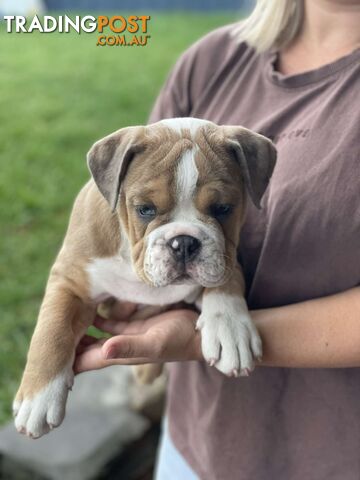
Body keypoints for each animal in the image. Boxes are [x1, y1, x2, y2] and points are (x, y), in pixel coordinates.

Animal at [11, 117, 276, 438]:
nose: (184, 242)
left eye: (223, 209)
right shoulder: (70, 279)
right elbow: (53, 328)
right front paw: (38, 397)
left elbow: (226, 281)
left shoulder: (226, 255)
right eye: (145, 209)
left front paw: (230, 330)